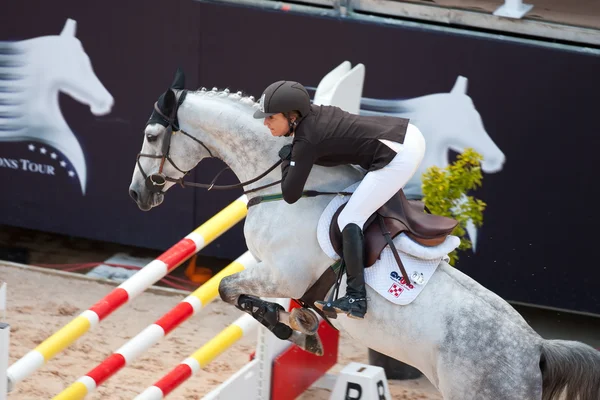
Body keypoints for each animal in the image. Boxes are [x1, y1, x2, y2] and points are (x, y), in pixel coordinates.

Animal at [127, 69, 600, 400]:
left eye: (151, 135)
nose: (136, 194)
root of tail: (536, 351)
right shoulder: (277, 274)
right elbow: (248, 295)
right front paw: (305, 323)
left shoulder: (280, 273)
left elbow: (228, 289)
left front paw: (294, 329)